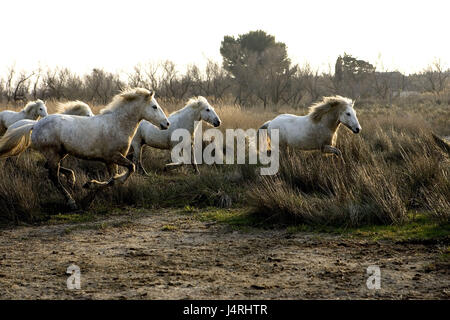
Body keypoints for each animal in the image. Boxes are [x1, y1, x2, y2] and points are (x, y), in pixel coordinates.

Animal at [0, 87, 170, 209]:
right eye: (154, 106)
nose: (166, 124)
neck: (117, 124)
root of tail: (35, 125)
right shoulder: (113, 157)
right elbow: (129, 169)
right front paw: (88, 191)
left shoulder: (111, 161)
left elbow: (113, 178)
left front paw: (90, 191)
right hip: (53, 153)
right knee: (53, 176)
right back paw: (71, 202)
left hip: (61, 153)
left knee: (49, 167)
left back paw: (71, 178)